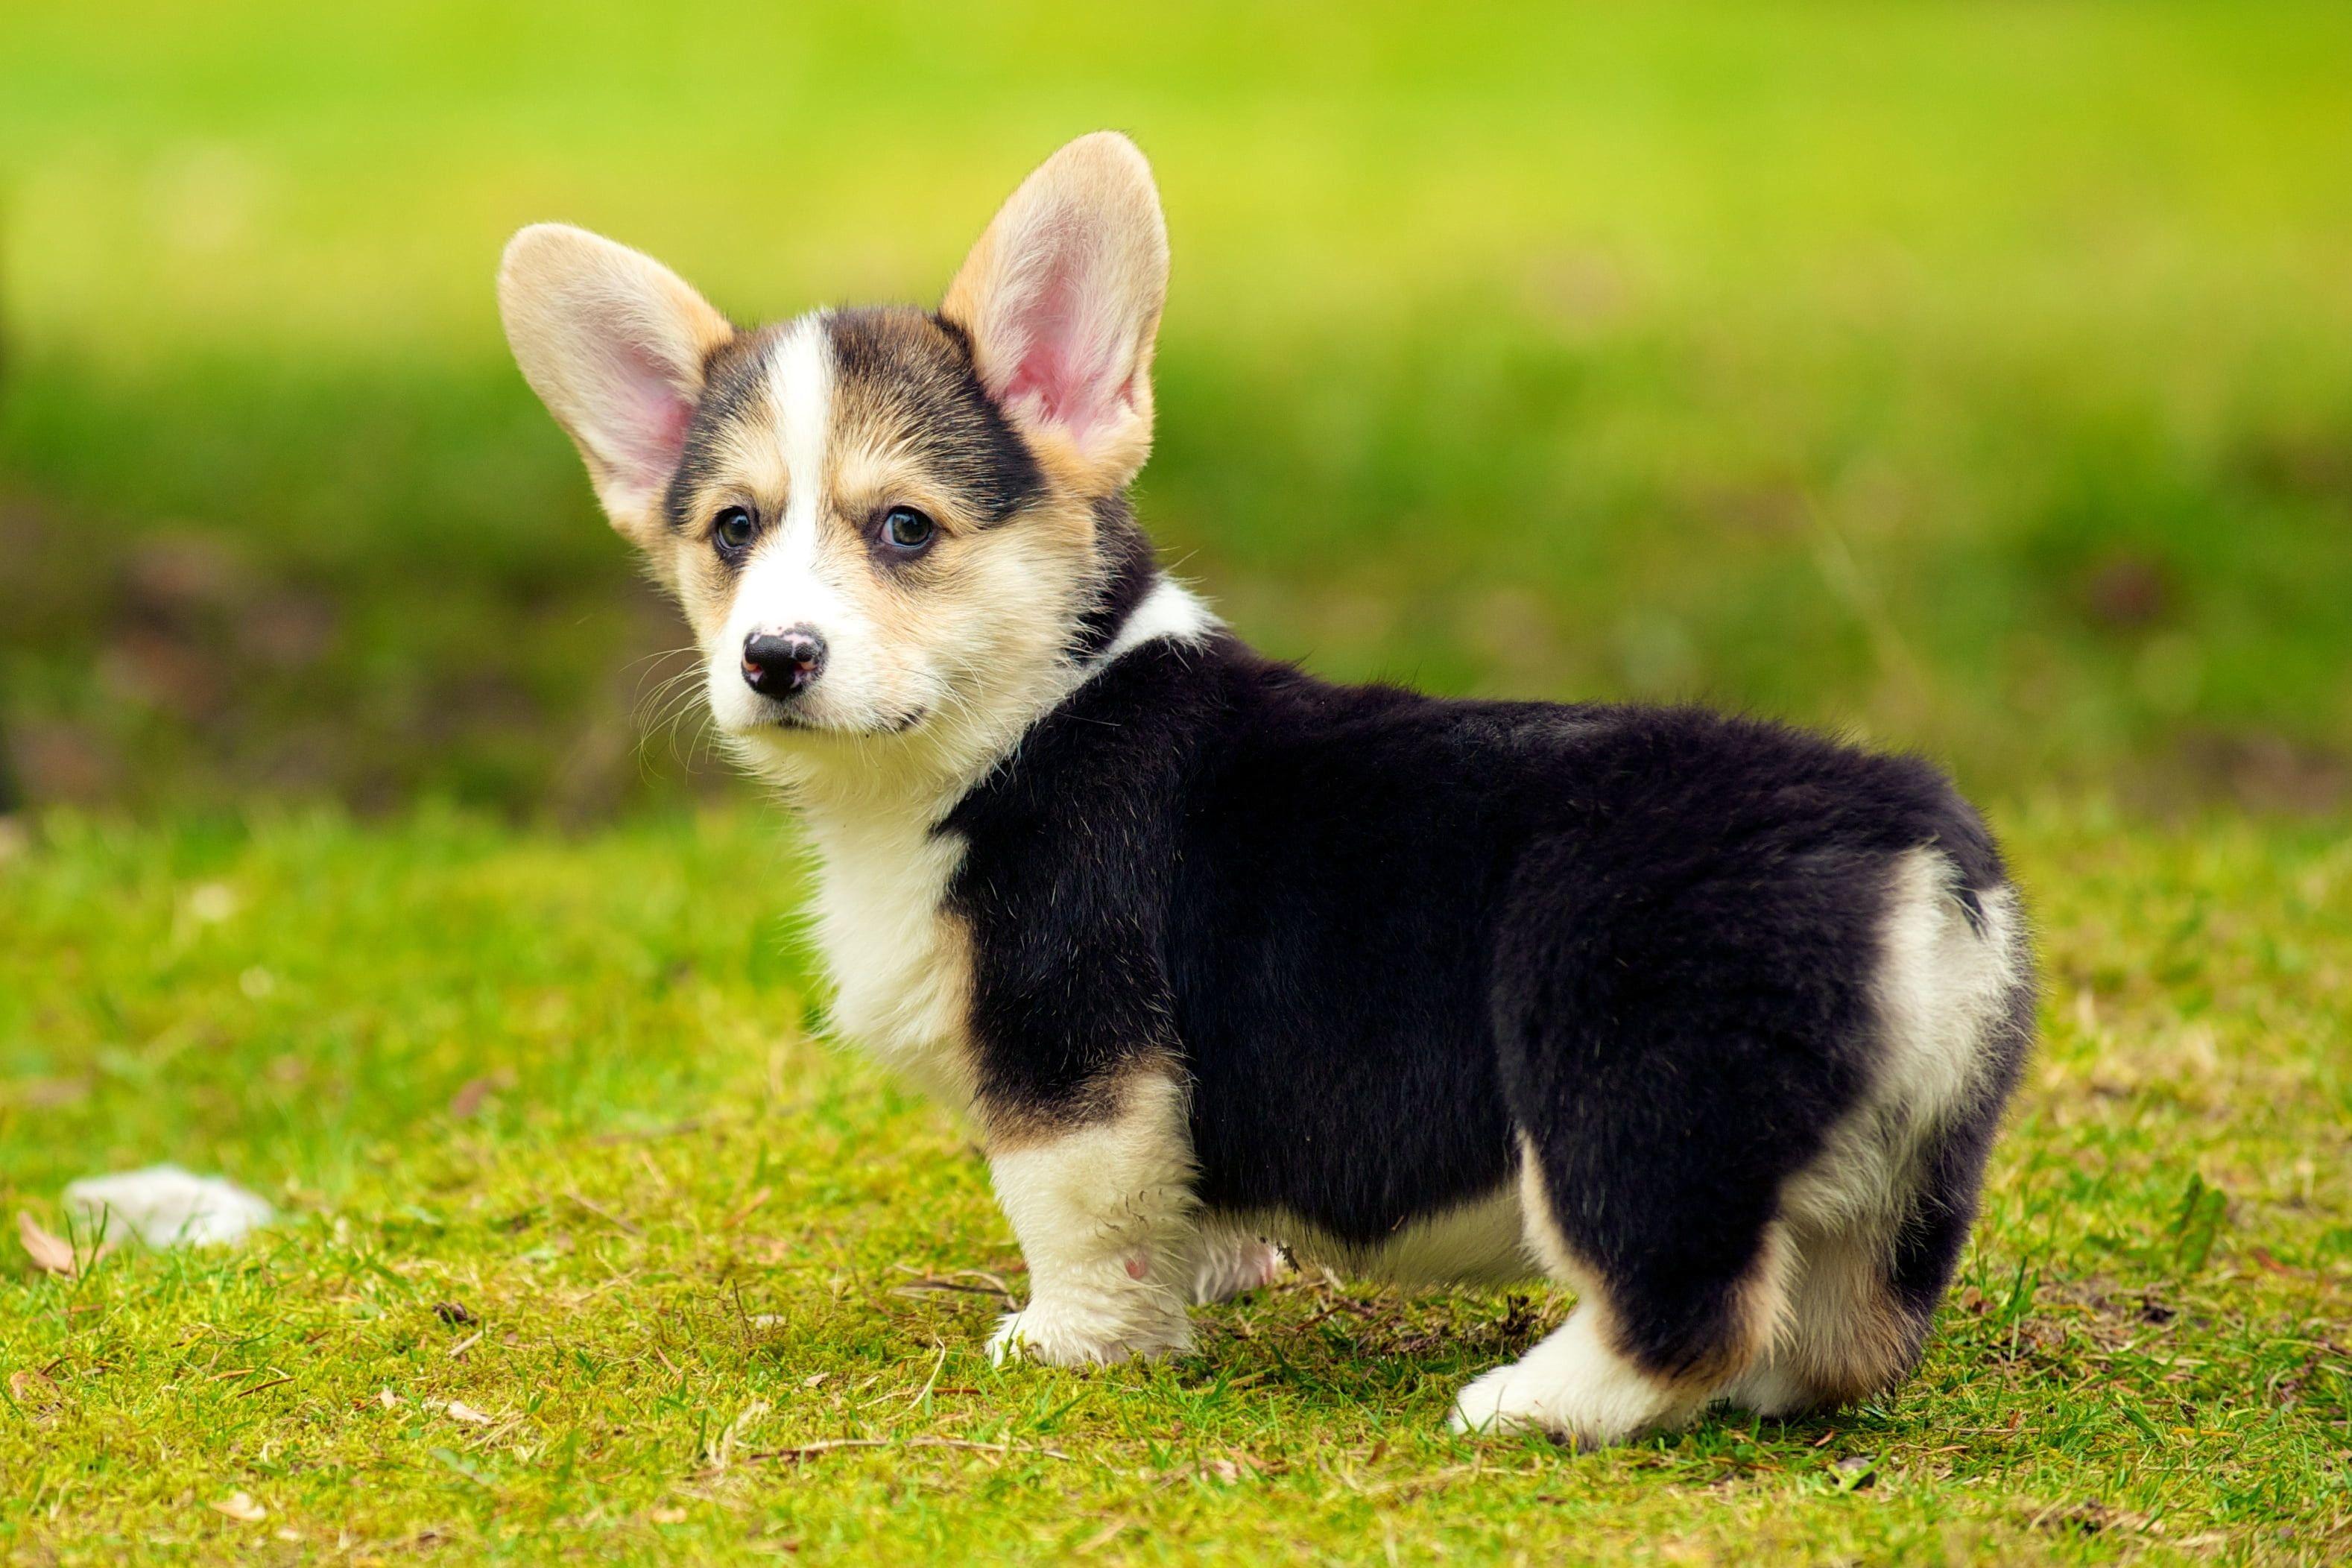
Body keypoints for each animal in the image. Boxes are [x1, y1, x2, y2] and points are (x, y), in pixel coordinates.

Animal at [501, 135, 2041, 1448]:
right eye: (732, 530)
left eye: (904, 530)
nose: (774, 657)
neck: (1019, 723)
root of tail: (1913, 853)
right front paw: (1218, 1273)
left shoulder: (1075, 1052)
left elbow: (1075, 1212)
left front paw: (1069, 1341)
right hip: (1906, 1162)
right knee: (1846, 1322)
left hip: (1635, 1096)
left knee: (1683, 1299)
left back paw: (1529, 1400)